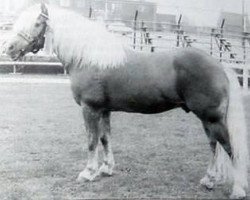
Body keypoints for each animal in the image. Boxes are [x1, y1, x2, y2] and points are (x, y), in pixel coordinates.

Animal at [4, 3, 249, 199]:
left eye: (37, 23)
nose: (9, 48)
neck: (88, 58)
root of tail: (219, 65)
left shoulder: (89, 109)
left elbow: (91, 141)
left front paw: (88, 173)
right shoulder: (104, 110)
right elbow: (105, 139)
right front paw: (106, 169)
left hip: (212, 118)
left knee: (229, 148)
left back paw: (237, 189)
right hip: (207, 119)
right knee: (213, 145)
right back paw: (209, 180)